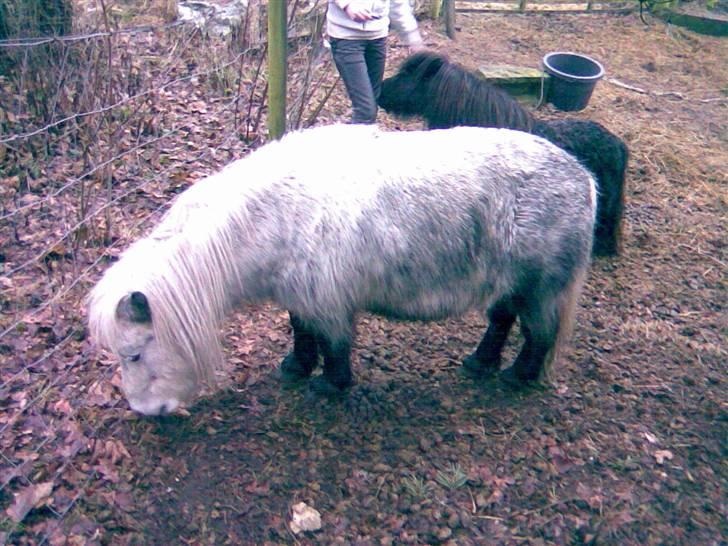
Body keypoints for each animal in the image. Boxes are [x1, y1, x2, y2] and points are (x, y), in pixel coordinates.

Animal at [87, 123, 596, 416]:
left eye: (134, 354)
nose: (145, 411)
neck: (273, 214)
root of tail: (585, 178)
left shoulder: (328, 300)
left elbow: (333, 344)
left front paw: (330, 386)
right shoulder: (302, 295)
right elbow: (302, 331)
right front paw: (296, 367)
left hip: (539, 288)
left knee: (538, 335)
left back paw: (517, 377)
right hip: (511, 285)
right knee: (502, 321)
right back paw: (480, 364)